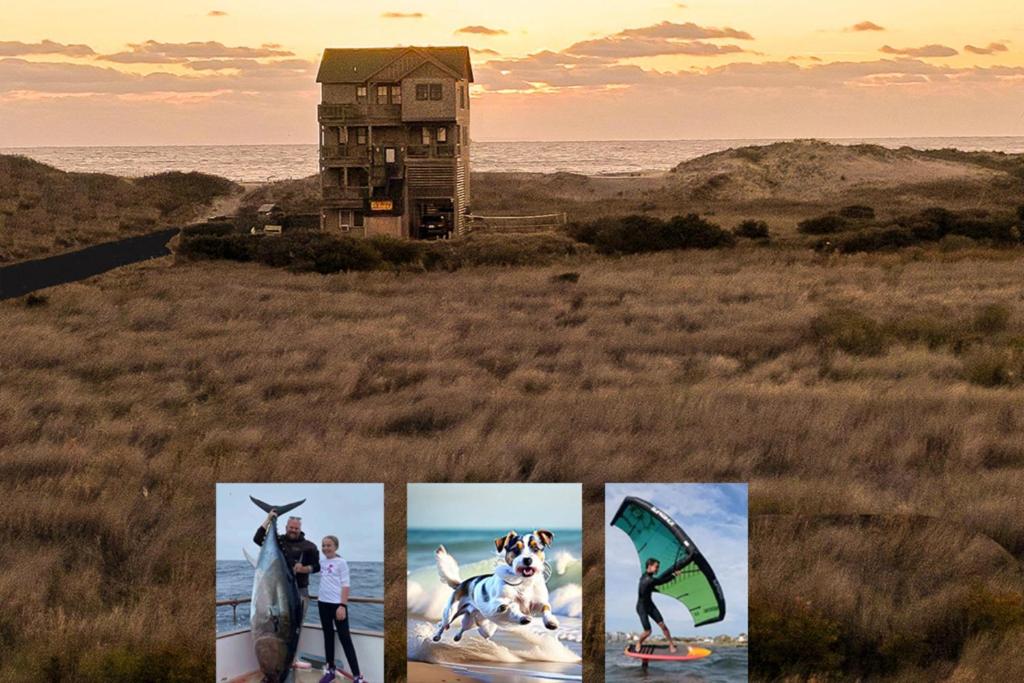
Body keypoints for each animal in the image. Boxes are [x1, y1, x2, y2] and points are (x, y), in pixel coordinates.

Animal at [432, 528, 561, 643]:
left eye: (535, 548)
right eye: (516, 549)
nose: (527, 560)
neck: (523, 581)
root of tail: (462, 583)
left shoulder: (538, 603)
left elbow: (546, 607)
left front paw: (550, 621)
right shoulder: (499, 602)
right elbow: (510, 606)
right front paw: (520, 615)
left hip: (478, 623)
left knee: (464, 627)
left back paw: (457, 636)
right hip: (451, 612)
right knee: (443, 624)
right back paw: (437, 636)